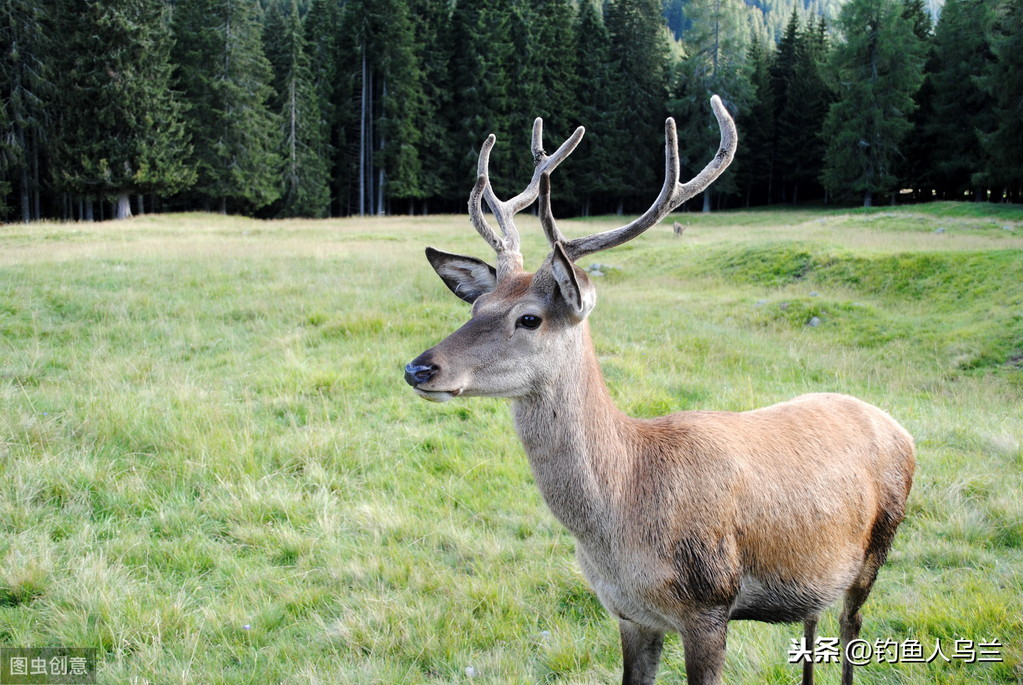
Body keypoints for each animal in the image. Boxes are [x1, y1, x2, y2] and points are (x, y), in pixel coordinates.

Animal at [403, 98, 916, 685]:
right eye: (476, 307)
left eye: (529, 318)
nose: (419, 368)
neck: (623, 519)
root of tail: (901, 430)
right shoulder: (628, 614)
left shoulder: (710, 605)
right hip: (815, 574)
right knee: (813, 622)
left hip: (878, 547)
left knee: (852, 626)